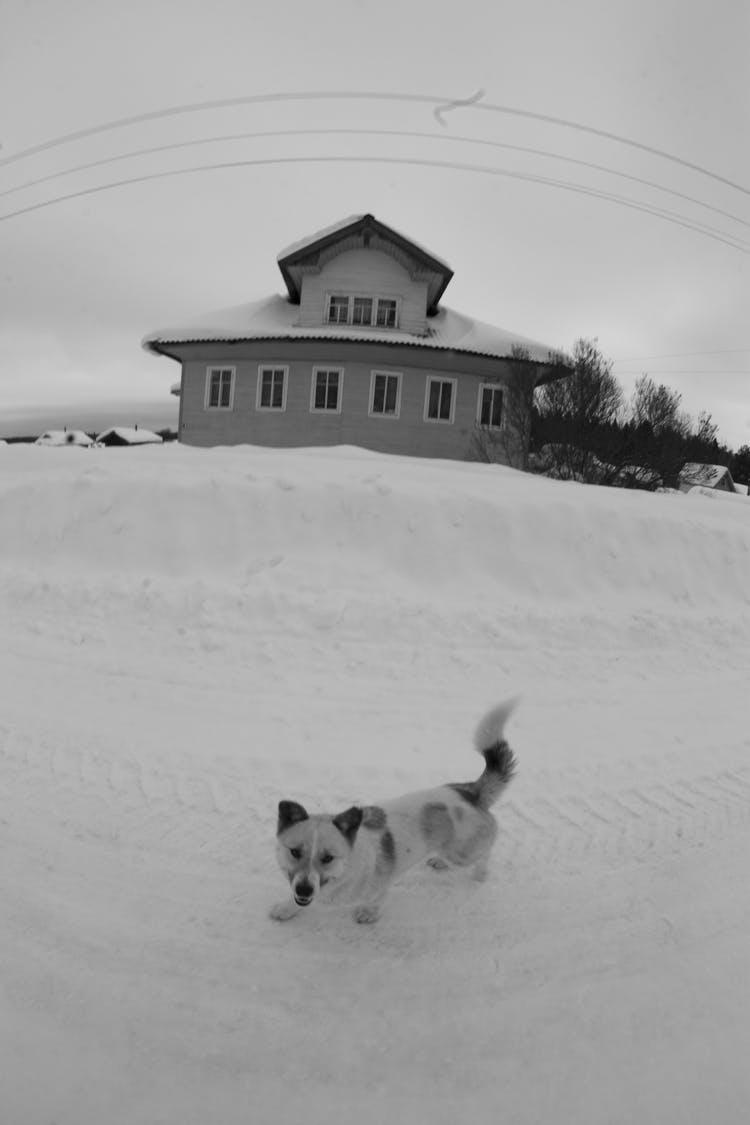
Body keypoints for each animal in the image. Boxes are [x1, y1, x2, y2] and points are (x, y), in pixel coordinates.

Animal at [268, 697, 517, 927]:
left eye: (327, 858)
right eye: (294, 852)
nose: (305, 890)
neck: (348, 868)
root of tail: (472, 793)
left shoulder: (380, 886)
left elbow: (376, 901)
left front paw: (367, 914)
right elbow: (294, 900)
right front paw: (286, 909)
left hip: (464, 854)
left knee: (484, 855)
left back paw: (480, 874)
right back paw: (440, 861)